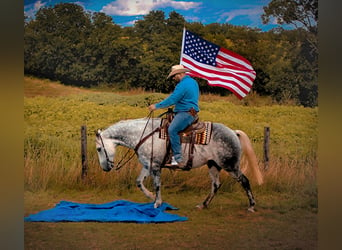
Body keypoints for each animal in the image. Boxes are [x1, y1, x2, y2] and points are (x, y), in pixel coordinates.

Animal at [95, 117, 264, 211]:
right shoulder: (148, 165)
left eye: (98, 148)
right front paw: (151, 198)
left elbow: (157, 185)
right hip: (213, 165)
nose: (105, 168)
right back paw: (203, 205)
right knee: (216, 185)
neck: (143, 135)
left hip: (230, 165)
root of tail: (233, 132)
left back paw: (251, 206)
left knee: (245, 181)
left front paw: (157, 204)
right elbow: (139, 182)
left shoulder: (155, 167)